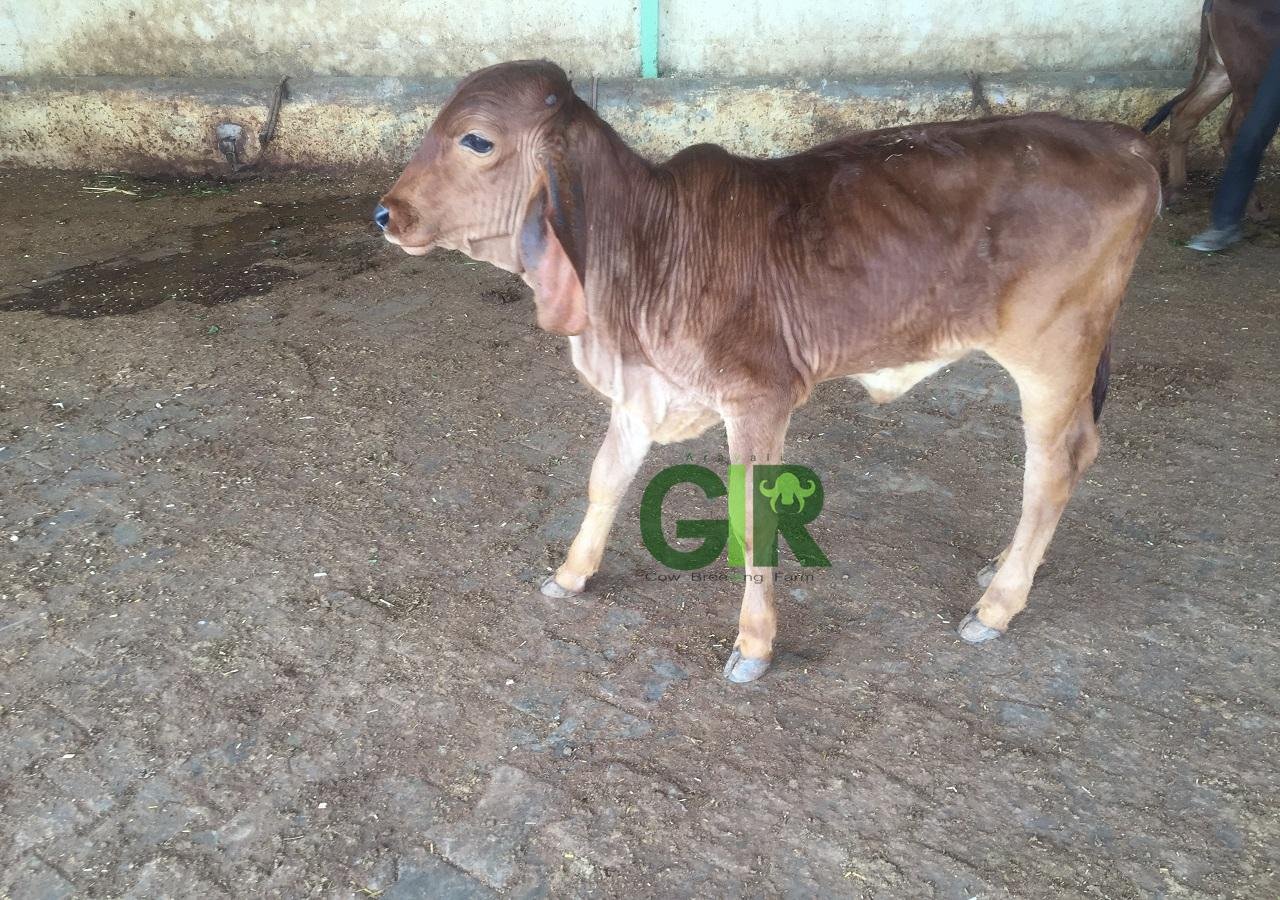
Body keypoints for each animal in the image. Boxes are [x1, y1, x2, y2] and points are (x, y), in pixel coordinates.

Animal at [376, 61, 1161, 682]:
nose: (385, 212)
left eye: (477, 140)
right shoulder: (644, 391)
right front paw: (572, 573)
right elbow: (605, 478)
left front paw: (754, 646)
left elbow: (752, 516)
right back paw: (1003, 568)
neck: (648, 246)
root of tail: (1121, 140)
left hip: (1054, 351)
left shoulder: (759, 396)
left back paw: (996, 607)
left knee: (1054, 466)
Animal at [1142, 0, 1280, 208]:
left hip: (1223, 70)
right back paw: (1249, 204)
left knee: (1186, 113)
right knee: (1242, 133)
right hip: (1251, 76)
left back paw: (1175, 189)